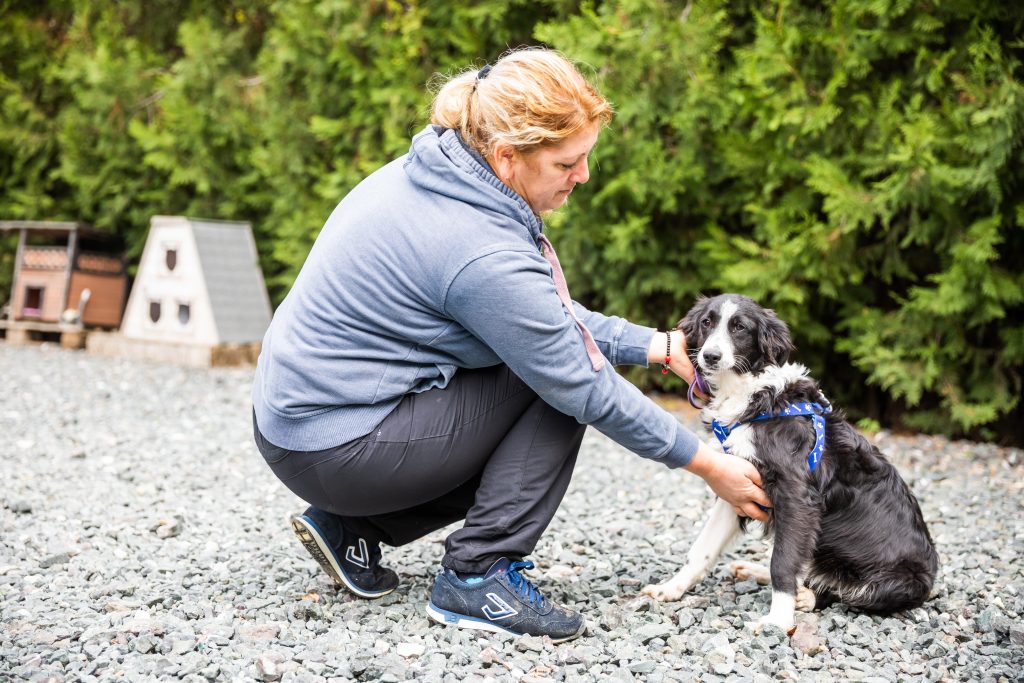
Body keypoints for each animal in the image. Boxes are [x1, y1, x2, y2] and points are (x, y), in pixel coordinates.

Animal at [643, 290, 937, 634]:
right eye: (706, 322)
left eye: (739, 327)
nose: (711, 356)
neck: (754, 397)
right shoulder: (736, 483)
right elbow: (702, 549)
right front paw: (671, 587)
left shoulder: (796, 496)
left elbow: (782, 563)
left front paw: (777, 620)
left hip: (896, 582)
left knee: (838, 590)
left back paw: (804, 597)